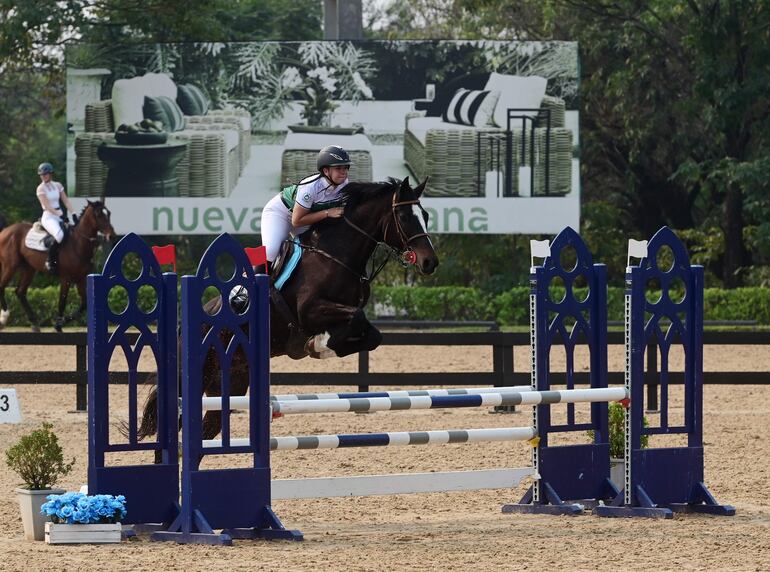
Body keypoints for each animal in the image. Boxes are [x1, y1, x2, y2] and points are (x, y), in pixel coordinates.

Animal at [0, 201, 115, 332]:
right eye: (98, 215)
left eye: (109, 213)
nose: (112, 236)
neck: (78, 244)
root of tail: (5, 230)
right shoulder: (66, 279)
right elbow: (62, 302)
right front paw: (58, 325)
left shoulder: (80, 279)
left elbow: (84, 304)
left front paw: (61, 321)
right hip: (10, 266)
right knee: (3, 286)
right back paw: (4, 318)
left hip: (29, 269)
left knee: (20, 292)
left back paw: (34, 323)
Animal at [136, 177, 438, 444]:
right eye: (405, 217)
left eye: (425, 215)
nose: (430, 262)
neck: (336, 255)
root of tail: (182, 326)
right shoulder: (310, 311)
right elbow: (355, 318)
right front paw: (317, 345)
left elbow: (371, 334)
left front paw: (320, 346)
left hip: (230, 382)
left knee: (206, 426)